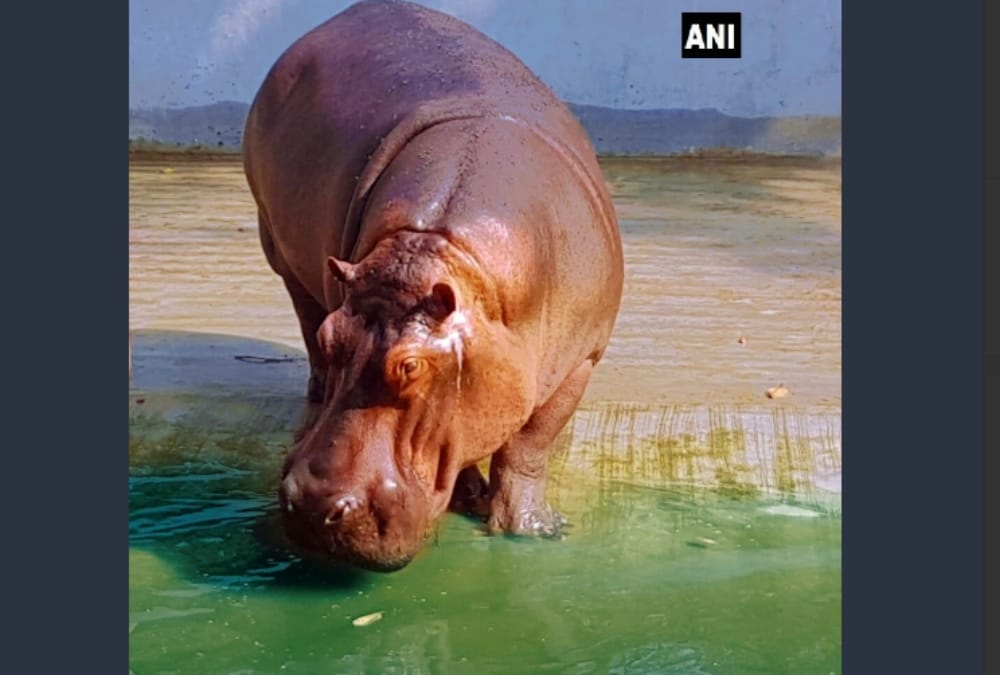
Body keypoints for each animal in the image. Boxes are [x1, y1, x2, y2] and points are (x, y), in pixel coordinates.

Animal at [242, 0, 623, 572]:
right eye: (336, 338)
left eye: (411, 366)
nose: (310, 505)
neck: (435, 248)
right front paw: (477, 498)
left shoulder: (581, 358)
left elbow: (529, 446)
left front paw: (535, 531)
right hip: (279, 251)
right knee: (303, 318)